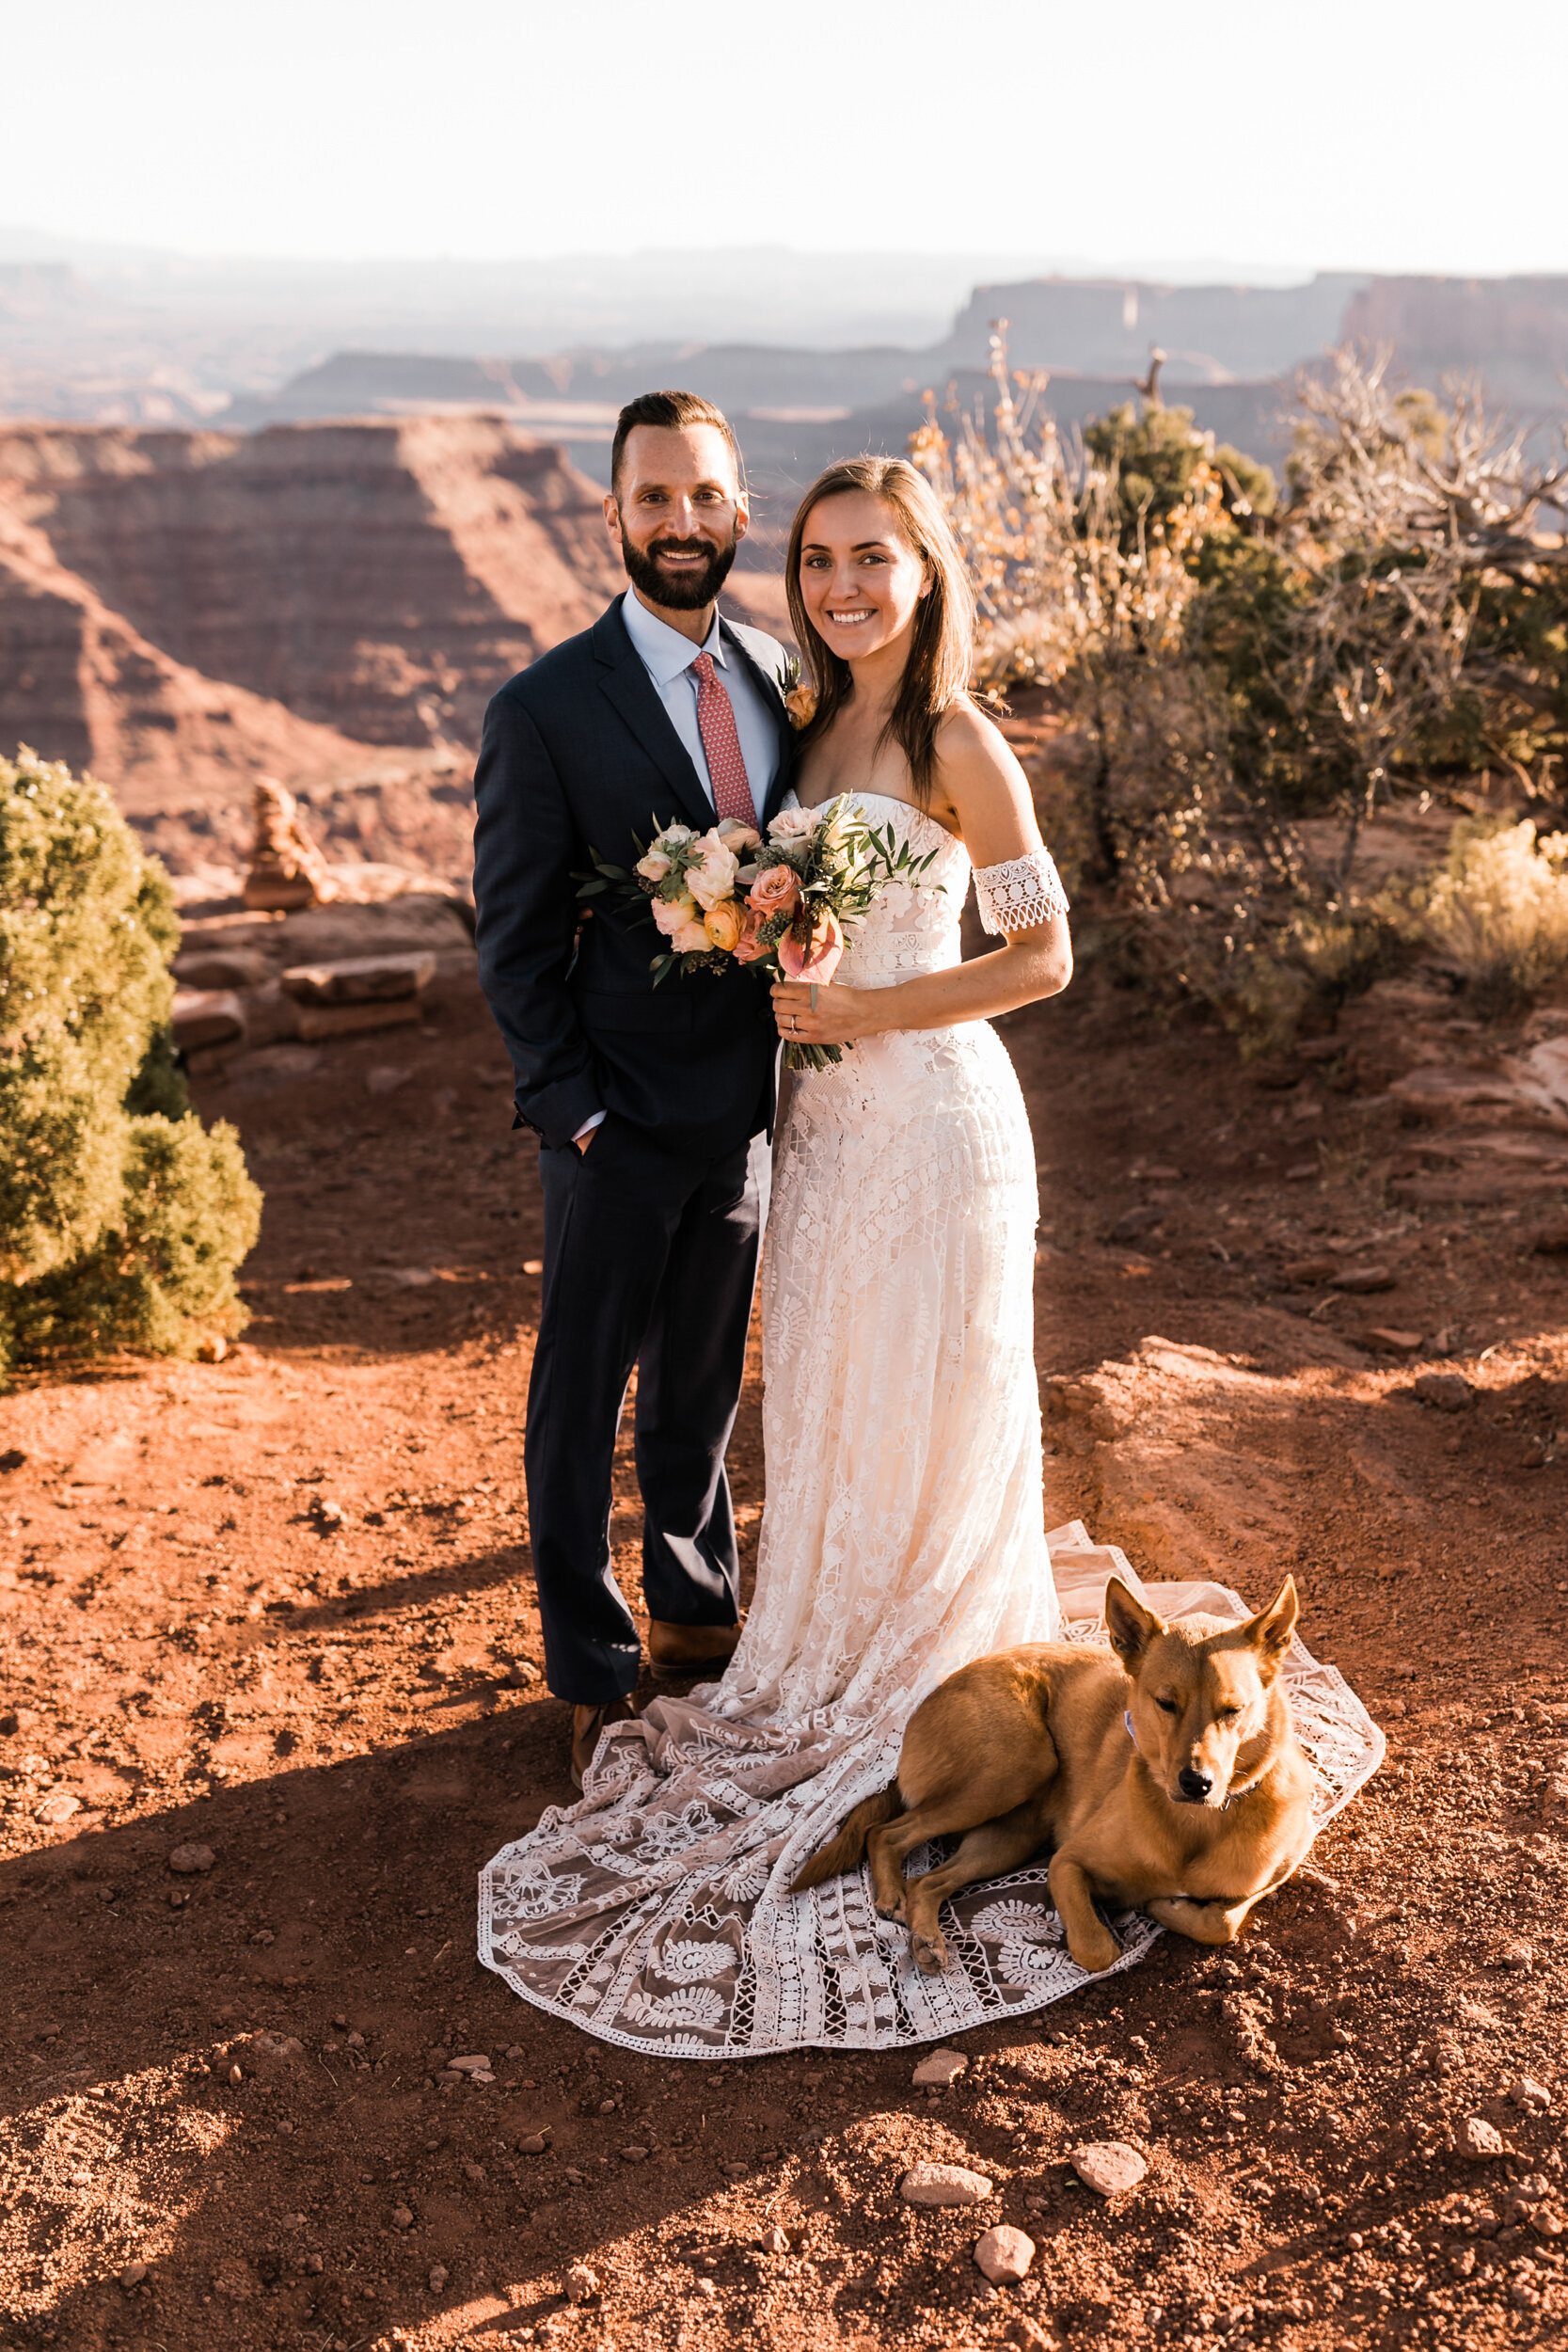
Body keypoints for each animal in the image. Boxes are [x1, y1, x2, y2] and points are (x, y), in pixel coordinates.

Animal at [789, 1571, 1316, 1976]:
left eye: (1233, 1710)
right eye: (1165, 1703)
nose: (1196, 1783)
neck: (1195, 1825)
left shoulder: (1279, 1870)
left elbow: (1221, 1922)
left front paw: (1170, 1907)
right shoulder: (1067, 1864)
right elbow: (1098, 1948)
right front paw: (1151, 1907)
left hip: (1009, 1835)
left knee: (928, 1881)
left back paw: (925, 1937)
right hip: (1015, 1766)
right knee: (886, 1832)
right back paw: (893, 1897)